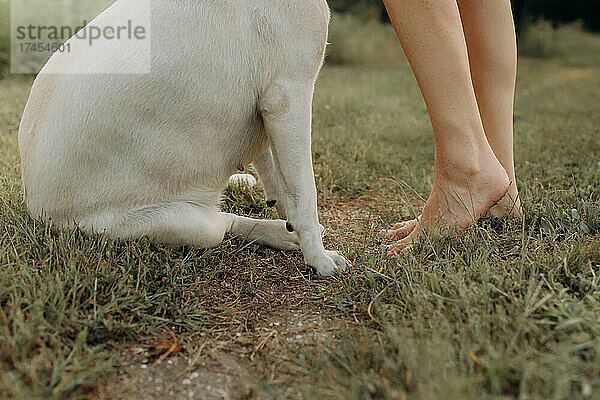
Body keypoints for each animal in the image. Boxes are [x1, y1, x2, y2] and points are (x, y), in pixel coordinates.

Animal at [18, 0, 350, 276]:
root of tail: (35, 208)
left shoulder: (266, 113)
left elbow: (281, 185)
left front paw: (294, 229)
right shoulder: (287, 99)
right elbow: (304, 194)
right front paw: (318, 259)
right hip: (186, 227)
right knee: (222, 223)